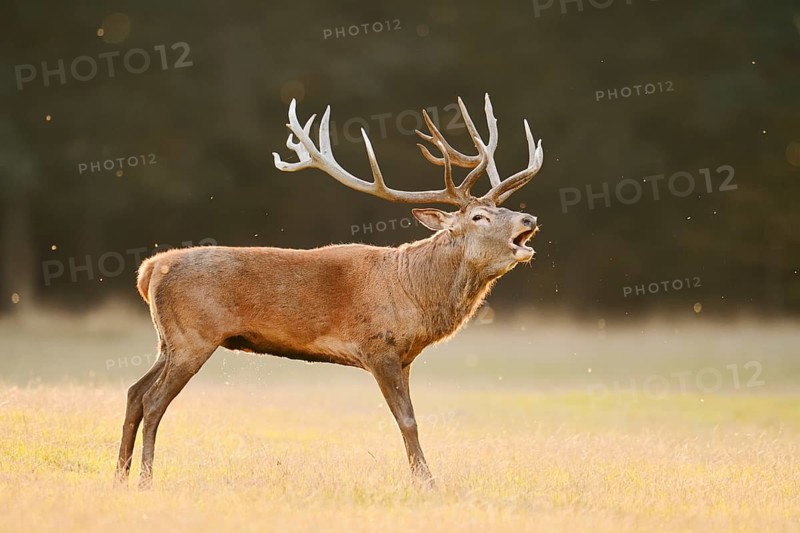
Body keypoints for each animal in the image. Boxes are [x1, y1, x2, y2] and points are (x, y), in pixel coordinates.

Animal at [115, 93, 543, 489]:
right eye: (479, 216)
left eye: (504, 210)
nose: (529, 218)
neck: (414, 292)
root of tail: (150, 269)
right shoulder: (378, 346)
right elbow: (407, 419)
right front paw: (427, 481)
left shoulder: (405, 357)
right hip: (193, 337)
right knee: (153, 401)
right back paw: (145, 479)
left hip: (169, 340)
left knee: (134, 392)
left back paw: (119, 475)